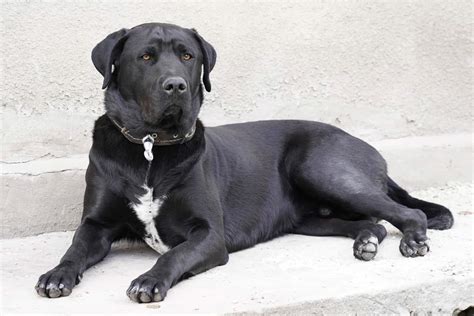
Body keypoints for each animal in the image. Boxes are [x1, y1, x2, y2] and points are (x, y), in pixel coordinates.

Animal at [35, 22, 454, 304]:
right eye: (146, 57)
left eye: (187, 56)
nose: (176, 85)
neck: (150, 148)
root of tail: (368, 148)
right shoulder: (96, 224)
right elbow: (74, 248)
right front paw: (57, 274)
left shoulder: (209, 234)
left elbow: (175, 253)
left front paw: (150, 279)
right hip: (309, 217)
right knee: (374, 223)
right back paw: (366, 240)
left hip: (320, 168)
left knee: (406, 212)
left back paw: (414, 241)